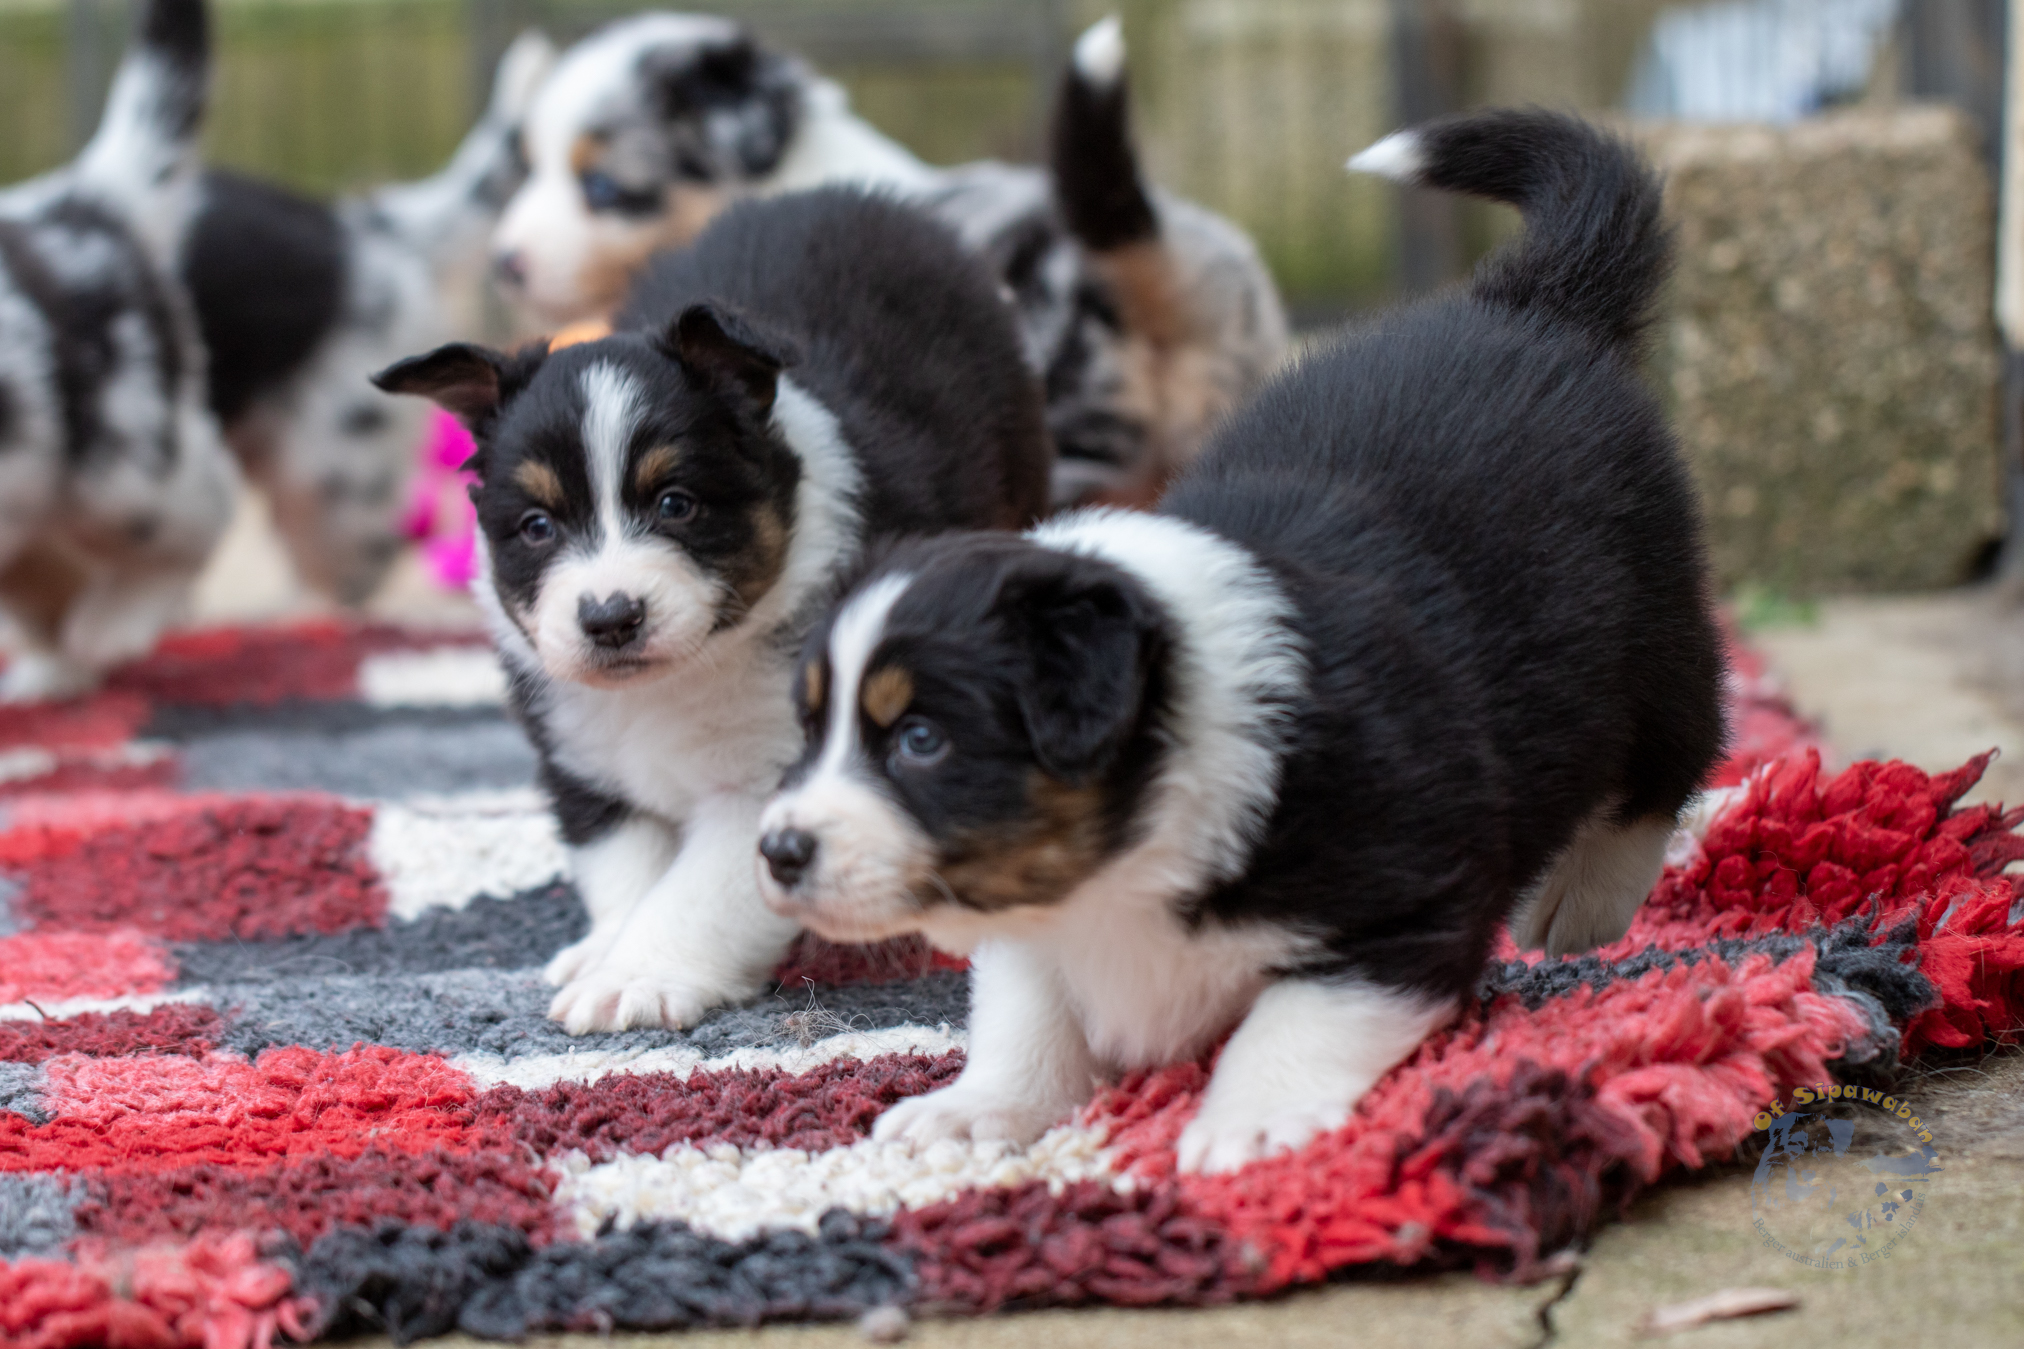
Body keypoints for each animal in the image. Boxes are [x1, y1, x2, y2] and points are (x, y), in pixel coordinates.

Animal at [0, 0, 240, 701]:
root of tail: (87, 200)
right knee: (45, 583)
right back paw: (55, 672)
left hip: (119, 467)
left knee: (209, 508)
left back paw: (113, 623)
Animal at [375, 187, 1051, 1033]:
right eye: (536, 526)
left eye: (676, 503)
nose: (610, 617)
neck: (672, 681)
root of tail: (861, 198)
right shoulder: (581, 758)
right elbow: (627, 870)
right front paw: (606, 951)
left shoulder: (774, 774)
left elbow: (699, 891)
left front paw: (635, 979)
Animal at [755, 110, 1727, 1174]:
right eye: (808, 730)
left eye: (921, 740)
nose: (778, 851)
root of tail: (1531, 310)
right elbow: (1025, 1008)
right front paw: (973, 1109)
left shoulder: (1406, 894)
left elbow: (1298, 1013)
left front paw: (1245, 1125)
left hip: (1650, 635)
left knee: (1672, 754)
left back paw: (1579, 904)